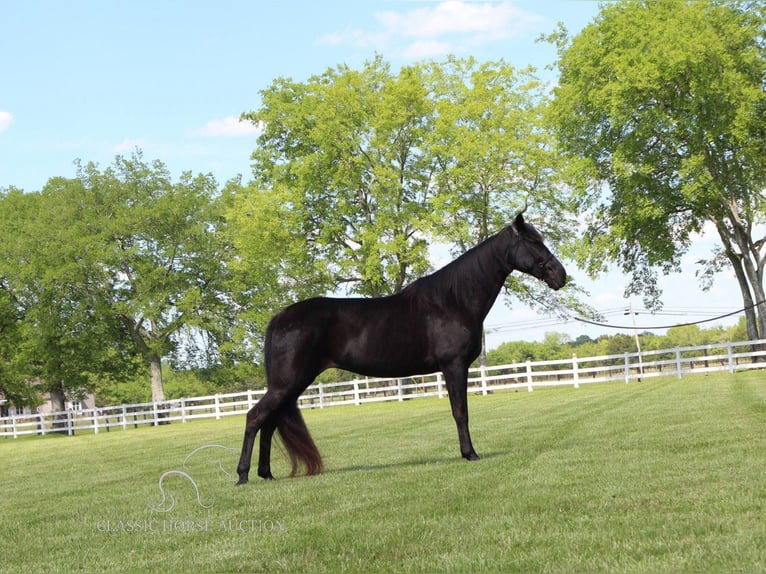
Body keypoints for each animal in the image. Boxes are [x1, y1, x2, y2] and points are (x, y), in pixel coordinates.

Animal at [237, 214, 568, 484]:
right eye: (533, 243)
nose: (560, 275)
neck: (453, 301)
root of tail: (280, 317)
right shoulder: (454, 366)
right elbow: (460, 412)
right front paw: (470, 453)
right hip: (288, 383)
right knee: (255, 417)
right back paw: (243, 476)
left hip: (290, 385)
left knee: (269, 422)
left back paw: (266, 473)